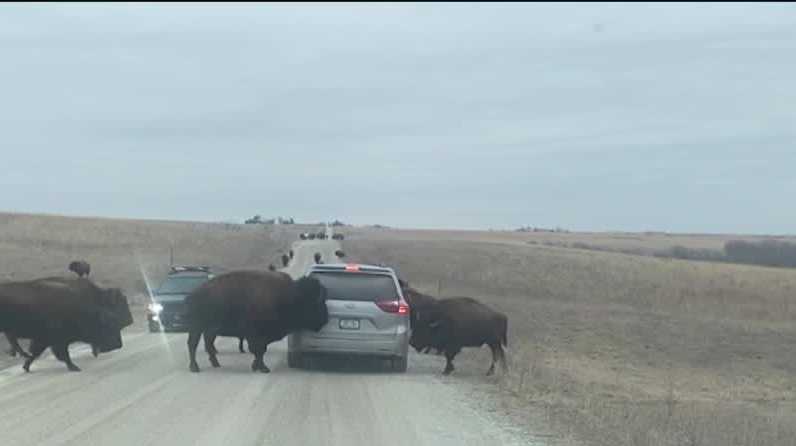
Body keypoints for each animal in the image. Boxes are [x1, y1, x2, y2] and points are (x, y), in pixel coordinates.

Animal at [0, 277, 133, 372]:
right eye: (108, 325)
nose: (118, 345)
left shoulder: (44, 340)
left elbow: (36, 353)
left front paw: (26, 366)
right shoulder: (56, 341)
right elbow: (63, 355)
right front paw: (75, 368)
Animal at [185, 270, 328, 373]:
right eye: (316, 304)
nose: (325, 319)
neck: (289, 296)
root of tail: (193, 294)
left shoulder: (260, 337)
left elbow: (260, 351)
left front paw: (256, 366)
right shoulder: (256, 335)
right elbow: (259, 351)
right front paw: (263, 368)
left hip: (209, 330)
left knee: (208, 344)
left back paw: (216, 364)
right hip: (196, 328)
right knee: (193, 345)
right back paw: (195, 368)